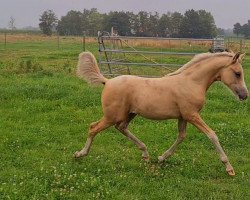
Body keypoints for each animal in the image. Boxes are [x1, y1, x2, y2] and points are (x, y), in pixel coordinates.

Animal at [74, 51, 248, 175]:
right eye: (237, 73)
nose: (245, 95)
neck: (192, 82)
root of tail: (108, 81)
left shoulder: (183, 116)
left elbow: (181, 137)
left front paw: (161, 158)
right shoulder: (192, 115)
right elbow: (212, 135)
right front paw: (229, 168)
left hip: (129, 114)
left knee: (121, 128)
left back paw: (145, 154)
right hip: (112, 116)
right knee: (93, 127)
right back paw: (80, 154)